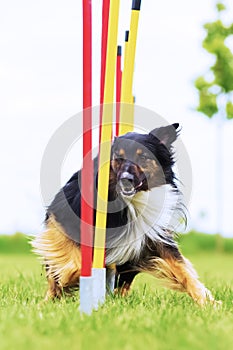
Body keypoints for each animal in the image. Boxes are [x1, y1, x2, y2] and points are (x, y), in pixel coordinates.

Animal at [31, 124, 218, 304]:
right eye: (118, 158)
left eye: (143, 157)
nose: (125, 179)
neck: (131, 201)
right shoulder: (65, 220)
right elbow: (73, 262)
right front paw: (69, 279)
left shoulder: (154, 237)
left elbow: (182, 270)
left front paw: (208, 302)